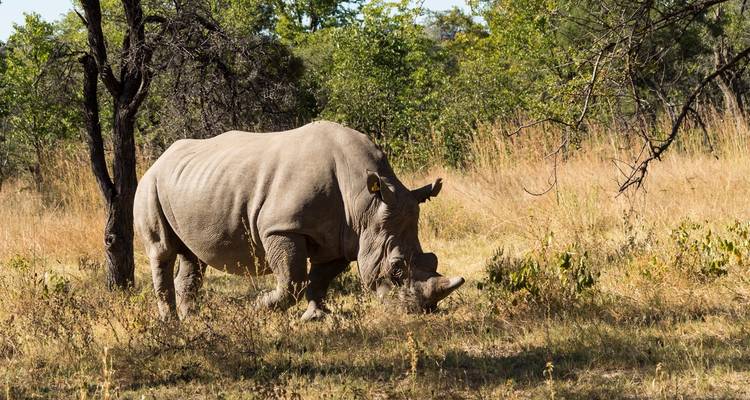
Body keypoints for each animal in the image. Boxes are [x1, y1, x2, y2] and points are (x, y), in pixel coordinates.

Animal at [134, 121, 464, 321]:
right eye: (395, 269)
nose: (422, 312)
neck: (365, 204)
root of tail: (159, 159)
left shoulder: (343, 238)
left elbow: (319, 279)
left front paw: (317, 317)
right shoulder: (282, 228)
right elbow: (292, 278)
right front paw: (258, 307)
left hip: (193, 184)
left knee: (193, 256)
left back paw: (191, 318)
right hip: (150, 184)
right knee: (161, 251)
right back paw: (171, 322)